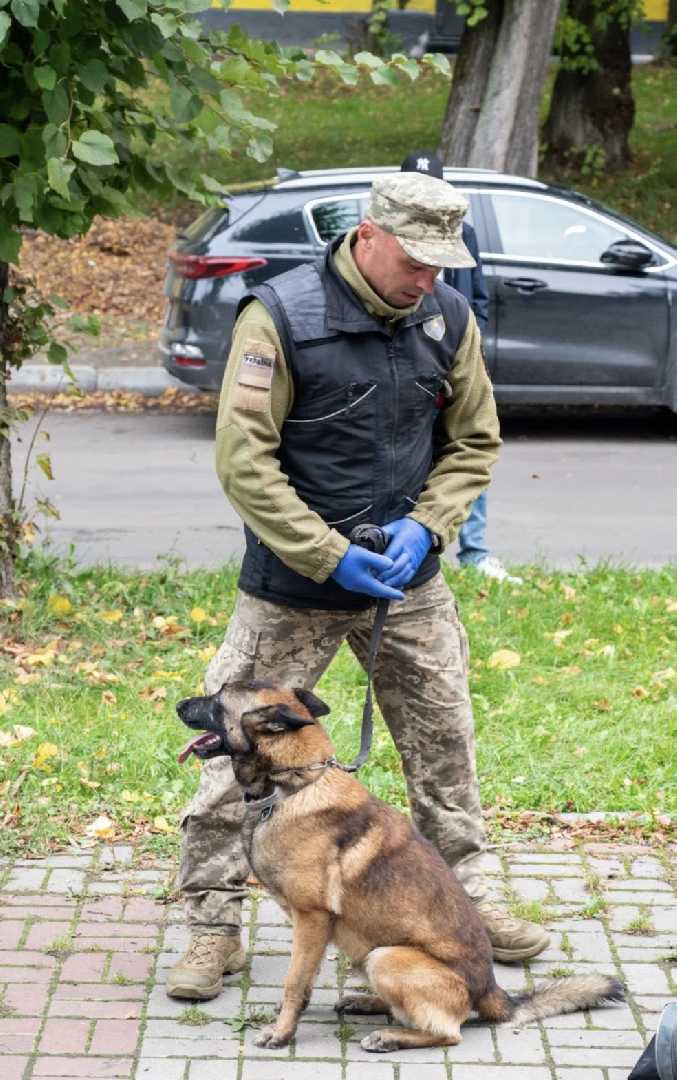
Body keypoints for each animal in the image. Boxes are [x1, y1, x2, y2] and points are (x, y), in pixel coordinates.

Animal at [177, 680, 624, 1053]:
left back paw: (391, 1036)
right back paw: (368, 1002)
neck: (295, 786)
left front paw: (282, 1032)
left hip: (386, 956)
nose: (178, 703)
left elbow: (295, 985)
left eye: (218, 698)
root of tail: (490, 992)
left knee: (449, 1032)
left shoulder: (311, 919)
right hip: (369, 952)